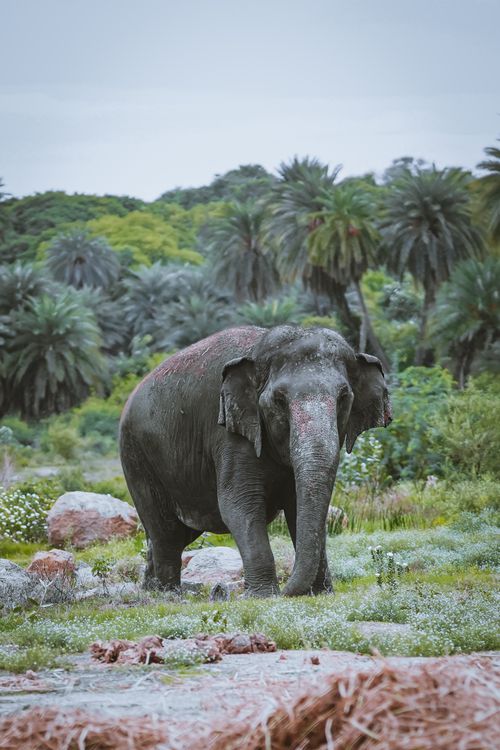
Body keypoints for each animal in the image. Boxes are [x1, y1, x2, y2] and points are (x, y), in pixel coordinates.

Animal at [119, 325, 392, 597]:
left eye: (343, 397)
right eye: (279, 401)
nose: (285, 591)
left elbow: (297, 506)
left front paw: (320, 594)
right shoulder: (229, 430)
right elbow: (240, 503)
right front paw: (264, 595)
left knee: (176, 534)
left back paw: (149, 589)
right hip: (136, 455)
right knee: (166, 532)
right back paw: (167, 594)